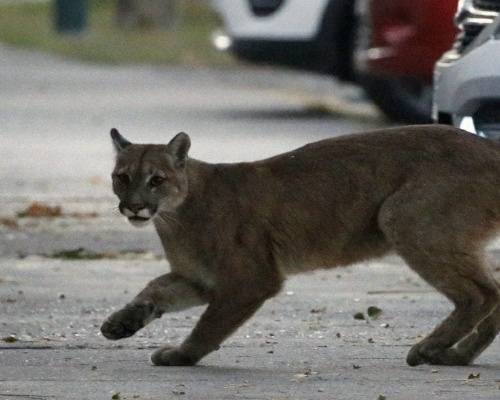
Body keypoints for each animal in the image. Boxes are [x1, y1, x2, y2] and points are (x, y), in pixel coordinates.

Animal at [99, 125, 500, 366]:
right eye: (122, 178)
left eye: (156, 180)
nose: (134, 206)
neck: (173, 216)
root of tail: (489, 146)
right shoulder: (201, 279)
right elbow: (156, 289)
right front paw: (122, 322)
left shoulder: (249, 281)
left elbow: (209, 326)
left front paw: (182, 355)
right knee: (494, 292)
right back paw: (457, 355)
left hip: (401, 216)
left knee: (480, 295)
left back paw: (429, 349)